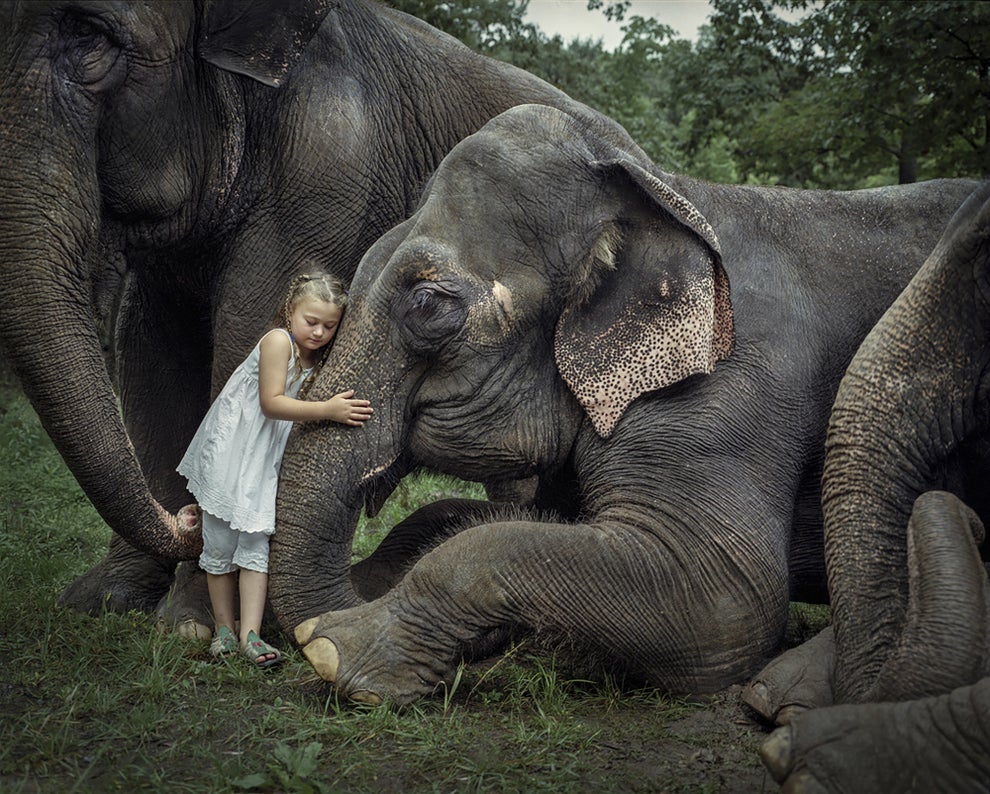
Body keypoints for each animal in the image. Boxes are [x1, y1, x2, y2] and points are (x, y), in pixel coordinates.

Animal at [0, 0, 628, 620]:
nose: (186, 519)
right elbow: (150, 354)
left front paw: (191, 622)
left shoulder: (329, 171)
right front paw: (103, 601)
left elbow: (248, 331)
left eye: (90, 34)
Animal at [268, 103, 980, 700]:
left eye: (427, 304)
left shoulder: (728, 389)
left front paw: (337, 646)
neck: (667, 191)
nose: (312, 625)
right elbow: (487, 518)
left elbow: (726, 597)